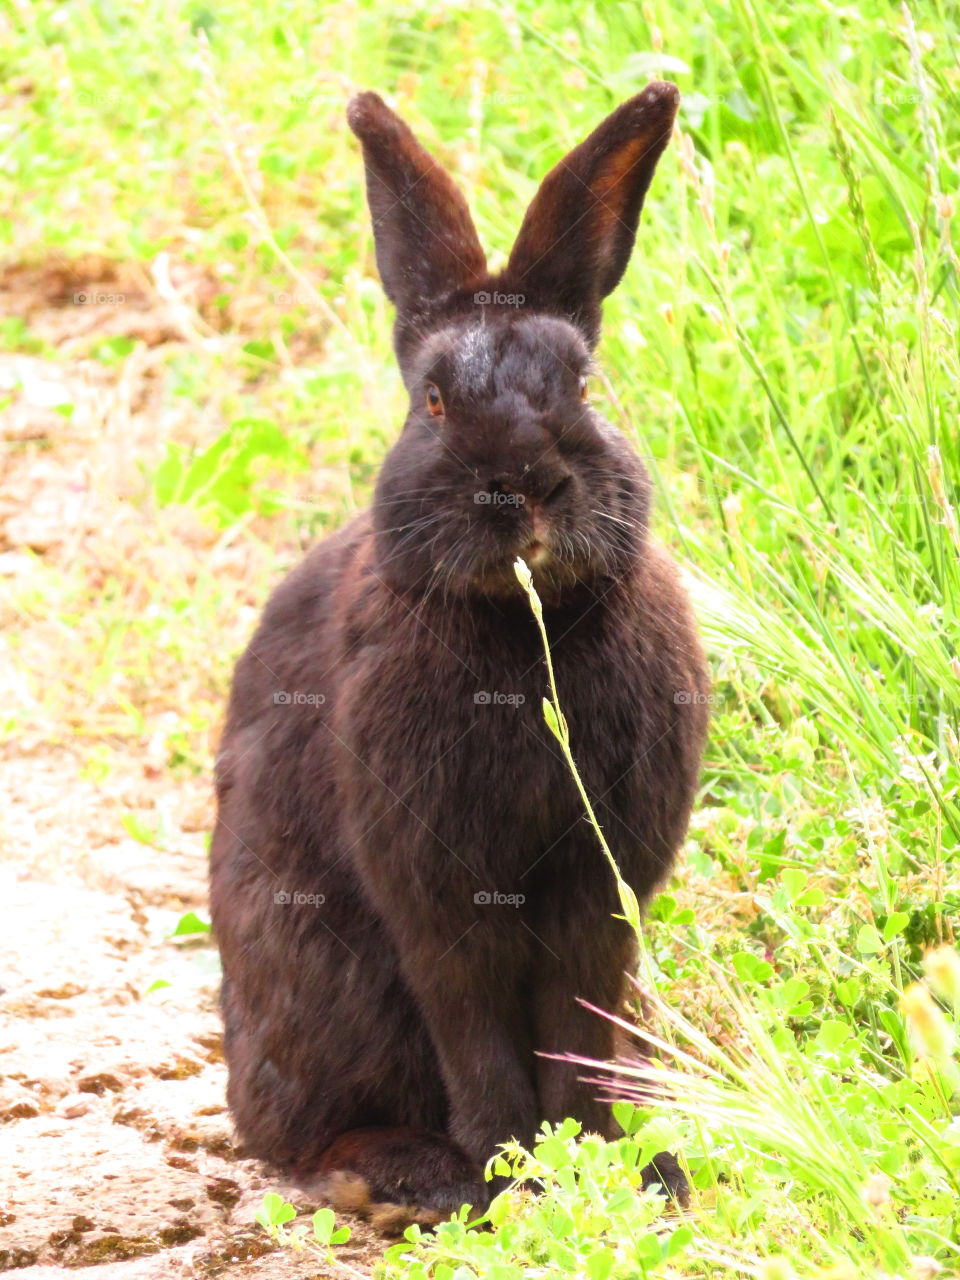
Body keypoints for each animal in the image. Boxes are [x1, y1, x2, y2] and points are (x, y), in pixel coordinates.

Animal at [208, 80, 706, 1228]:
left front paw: (597, 1163)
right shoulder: (436, 891)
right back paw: (404, 1174)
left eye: (582, 386)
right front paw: (508, 1173)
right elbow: (472, 1023)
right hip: (313, 982)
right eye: (433, 403)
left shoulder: (597, 886)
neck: (521, 629)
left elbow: (576, 1017)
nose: (522, 485)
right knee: (300, 1134)